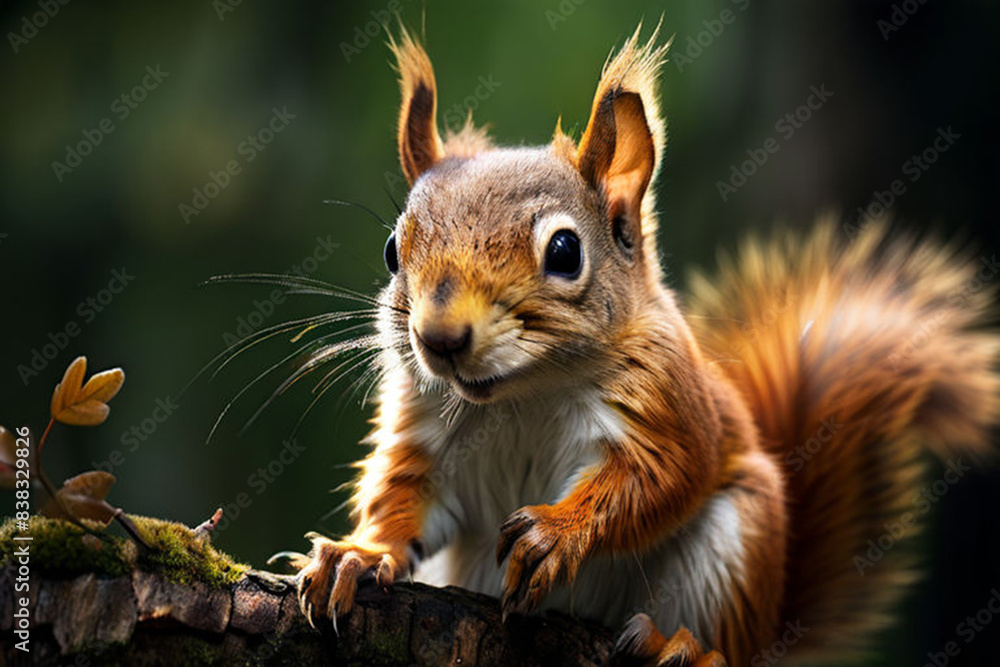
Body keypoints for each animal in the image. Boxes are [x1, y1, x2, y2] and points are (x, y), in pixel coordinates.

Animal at [292, 23, 1000, 666]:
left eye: (565, 251)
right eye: (392, 250)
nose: (438, 338)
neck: (524, 394)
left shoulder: (667, 404)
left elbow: (660, 478)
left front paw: (556, 533)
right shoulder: (427, 429)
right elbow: (404, 494)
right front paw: (358, 556)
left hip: (737, 542)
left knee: (724, 638)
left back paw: (683, 648)